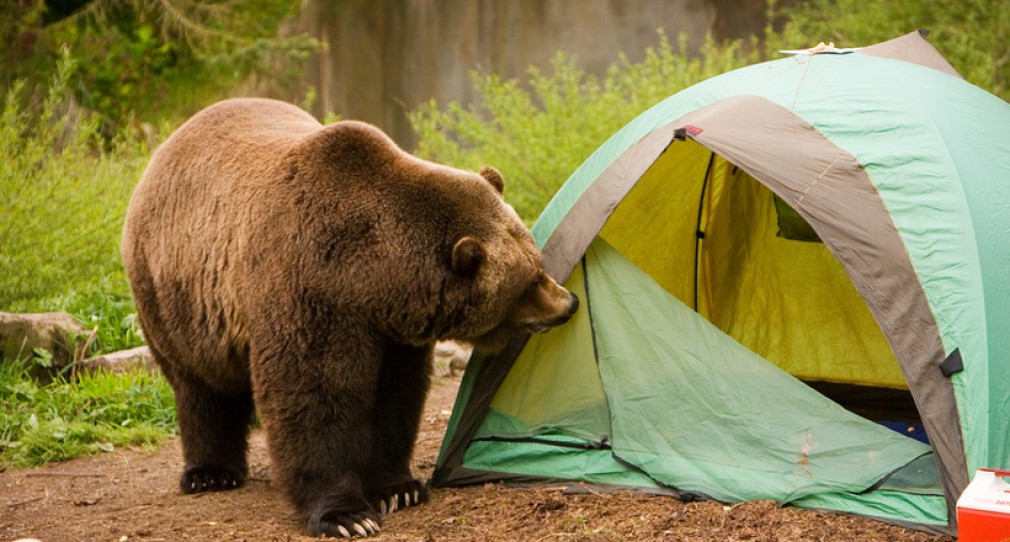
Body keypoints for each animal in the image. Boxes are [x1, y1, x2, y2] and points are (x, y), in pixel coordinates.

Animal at [120, 97, 577, 536]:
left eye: (538, 261)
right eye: (529, 282)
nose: (569, 302)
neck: (372, 275)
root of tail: (169, 144)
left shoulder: (392, 329)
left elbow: (396, 396)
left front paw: (398, 488)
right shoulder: (309, 289)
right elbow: (315, 396)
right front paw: (346, 514)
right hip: (175, 296)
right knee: (199, 386)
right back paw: (210, 473)